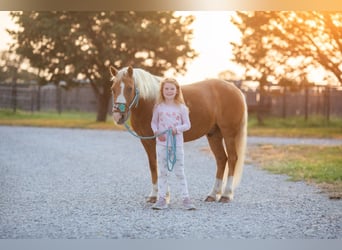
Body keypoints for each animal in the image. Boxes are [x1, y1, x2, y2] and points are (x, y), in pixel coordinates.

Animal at [111, 65, 247, 202]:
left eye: (130, 88)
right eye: (113, 89)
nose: (118, 116)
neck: (150, 102)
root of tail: (236, 90)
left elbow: (158, 165)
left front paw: (161, 195)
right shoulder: (146, 140)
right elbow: (153, 165)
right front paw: (156, 195)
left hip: (228, 134)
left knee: (232, 158)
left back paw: (226, 195)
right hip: (214, 135)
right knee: (221, 159)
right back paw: (212, 195)